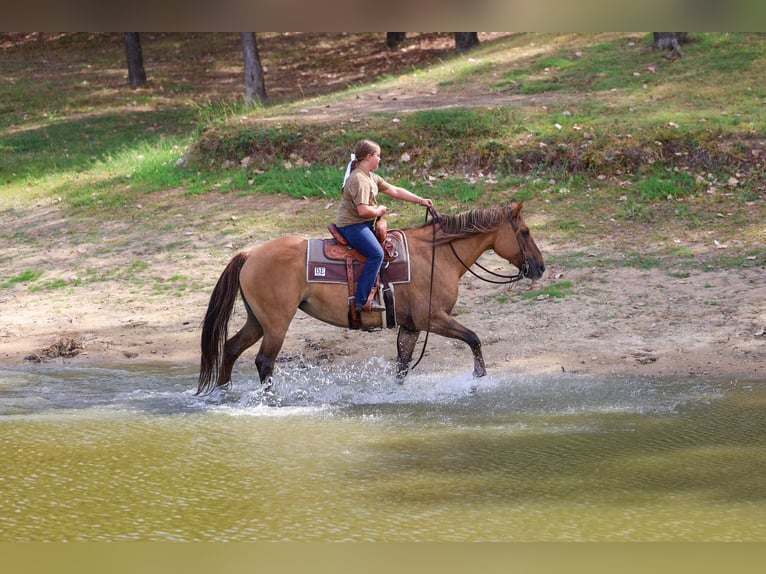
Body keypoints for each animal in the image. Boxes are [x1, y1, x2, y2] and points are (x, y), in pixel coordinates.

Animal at [196, 199, 545, 395]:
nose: (540, 267)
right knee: (264, 362)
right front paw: (478, 379)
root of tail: (250, 254)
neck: (437, 254)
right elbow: (473, 338)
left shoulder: (411, 326)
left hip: (258, 321)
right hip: (277, 324)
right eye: (525, 232)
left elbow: (402, 366)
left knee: (231, 349)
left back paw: (223, 393)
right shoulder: (432, 318)